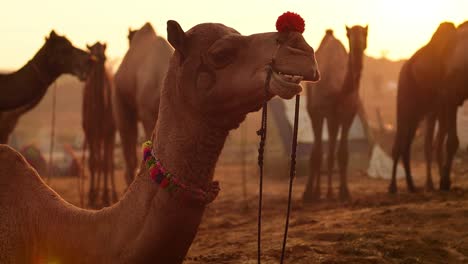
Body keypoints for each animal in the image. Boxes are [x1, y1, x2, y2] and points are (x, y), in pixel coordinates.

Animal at [304, 25, 370, 201]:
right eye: (349, 34)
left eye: (365, 33)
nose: (358, 45)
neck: (340, 91)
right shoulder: (322, 112)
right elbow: (318, 153)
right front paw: (311, 193)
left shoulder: (348, 115)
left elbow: (342, 154)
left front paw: (344, 192)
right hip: (315, 112)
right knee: (319, 150)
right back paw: (315, 192)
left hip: (334, 119)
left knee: (331, 150)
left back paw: (326, 192)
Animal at [388, 21, 458, 193]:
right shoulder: (440, 105)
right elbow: (432, 143)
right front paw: (436, 183)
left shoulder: (438, 109)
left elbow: (435, 143)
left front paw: (439, 182)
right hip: (405, 102)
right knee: (400, 141)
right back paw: (393, 187)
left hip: (417, 114)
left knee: (406, 143)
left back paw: (411, 185)